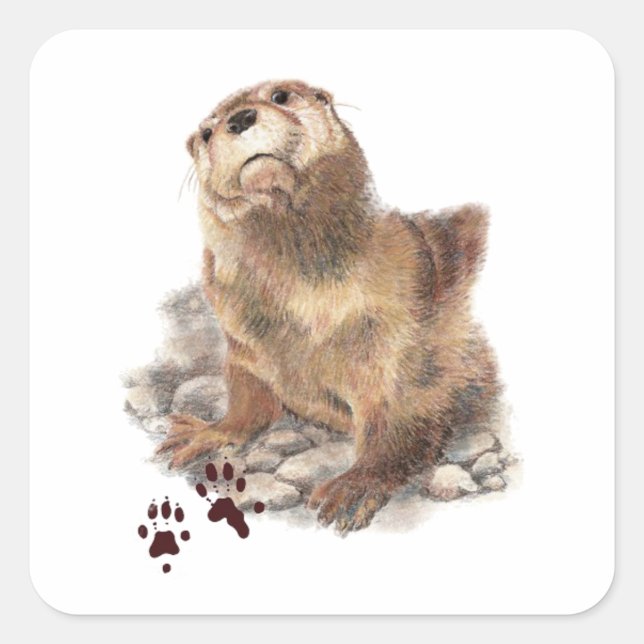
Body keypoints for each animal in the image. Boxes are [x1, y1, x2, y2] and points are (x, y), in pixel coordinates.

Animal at [158, 80, 501, 533]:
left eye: (280, 95)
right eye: (205, 133)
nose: (240, 119)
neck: (304, 315)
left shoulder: (404, 345)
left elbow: (397, 422)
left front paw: (356, 484)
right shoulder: (244, 345)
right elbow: (249, 400)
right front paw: (209, 431)